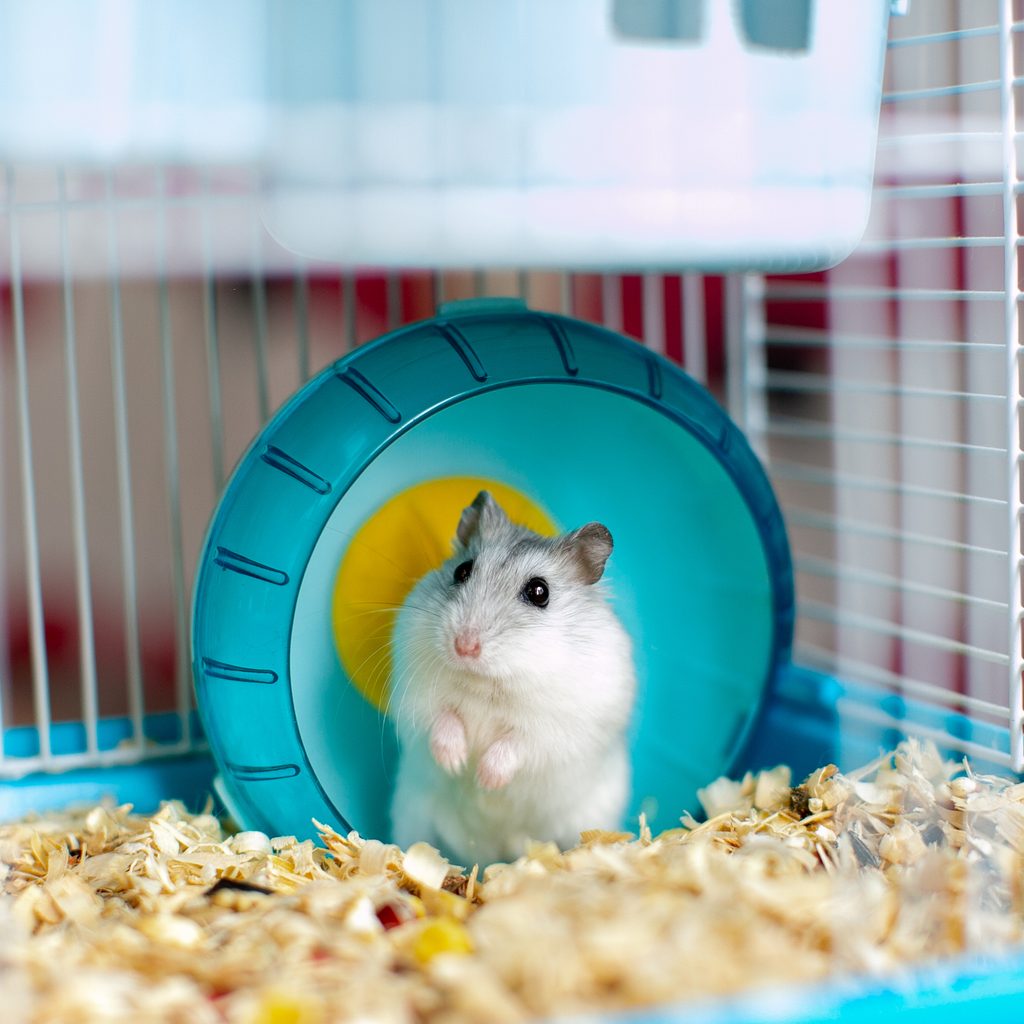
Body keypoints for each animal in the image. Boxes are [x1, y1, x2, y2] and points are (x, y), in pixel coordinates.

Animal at [389, 490, 636, 866]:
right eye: (462, 570)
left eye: (539, 592)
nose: (464, 646)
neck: (488, 682)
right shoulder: (417, 694)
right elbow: (442, 719)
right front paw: (456, 763)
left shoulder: (558, 729)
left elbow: (518, 743)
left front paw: (484, 779)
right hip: (411, 812)